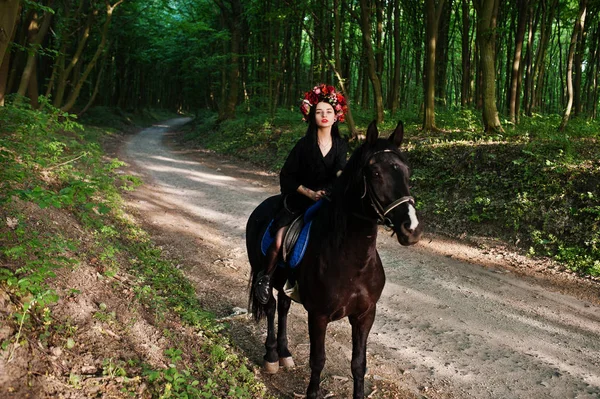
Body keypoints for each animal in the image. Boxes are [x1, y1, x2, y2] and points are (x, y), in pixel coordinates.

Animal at [244, 121, 422, 399]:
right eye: (375, 173)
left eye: (406, 171)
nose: (411, 228)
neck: (352, 261)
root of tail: (261, 208)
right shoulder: (318, 315)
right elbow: (318, 360)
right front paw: (312, 393)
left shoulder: (365, 315)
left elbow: (359, 363)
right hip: (264, 271)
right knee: (271, 305)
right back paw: (272, 356)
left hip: (285, 281)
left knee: (283, 306)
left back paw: (284, 354)